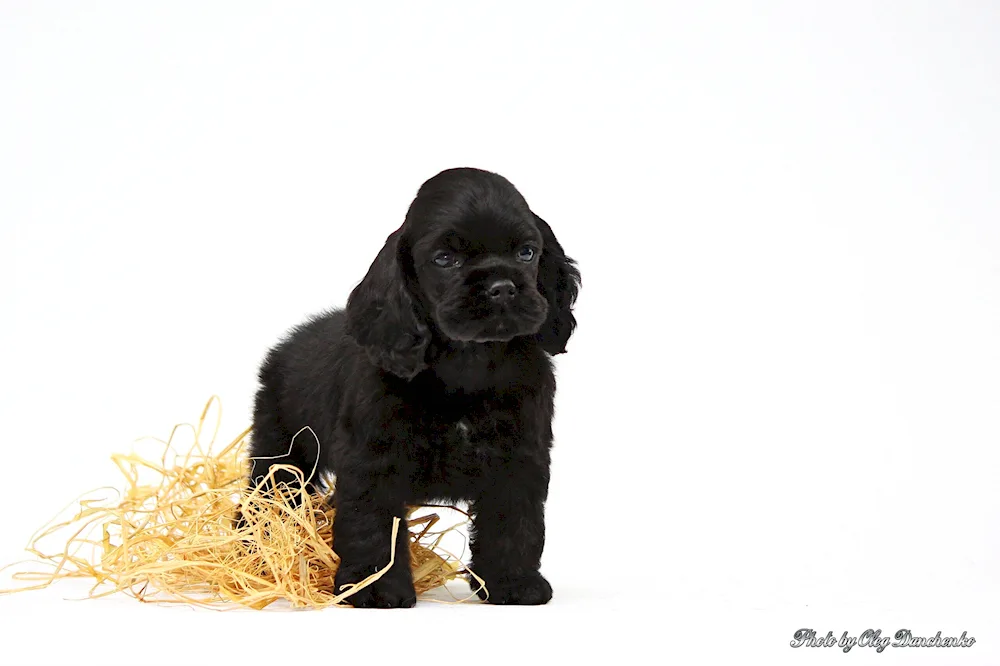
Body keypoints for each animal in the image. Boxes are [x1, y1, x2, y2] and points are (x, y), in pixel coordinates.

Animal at [246, 167, 584, 608]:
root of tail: (286, 344)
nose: (502, 287)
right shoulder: (373, 461)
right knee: (263, 498)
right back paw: (251, 549)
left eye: (527, 252)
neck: (468, 364)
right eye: (445, 259)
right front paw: (376, 589)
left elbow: (514, 524)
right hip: (282, 453)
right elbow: (373, 527)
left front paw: (513, 583)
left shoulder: (520, 457)